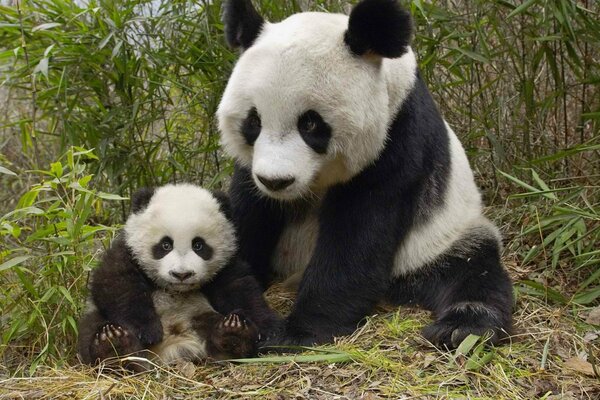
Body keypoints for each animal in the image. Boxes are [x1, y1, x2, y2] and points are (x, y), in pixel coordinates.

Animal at [76, 183, 280, 368]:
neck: (175, 290)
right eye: (165, 245)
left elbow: (241, 289)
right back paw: (114, 347)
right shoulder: (127, 251)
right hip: (97, 319)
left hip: (200, 315)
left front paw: (268, 329)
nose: (182, 274)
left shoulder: (226, 264)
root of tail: (170, 349)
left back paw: (233, 336)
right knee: (91, 328)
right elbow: (116, 284)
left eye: (199, 245)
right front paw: (147, 330)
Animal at [218, 0, 512, 350]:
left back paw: (463, 327)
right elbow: (248, 214)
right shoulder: (251, 170)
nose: (276, 181)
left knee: (472, 269)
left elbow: (358, 235)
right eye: (253, 122)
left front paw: (297, 332)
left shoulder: (397, 139)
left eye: (310, 123)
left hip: (442, 237)